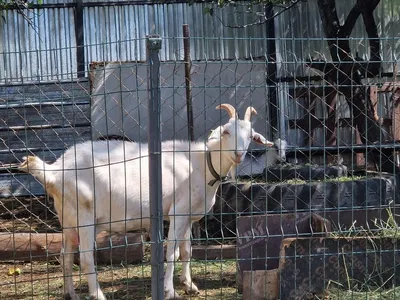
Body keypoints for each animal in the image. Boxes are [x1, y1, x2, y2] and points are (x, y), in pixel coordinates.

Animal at [19, 103, 276, 300]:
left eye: (250, 136)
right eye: (226, 132)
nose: (238, 155)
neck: (201, 163)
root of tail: (55, 170)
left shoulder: (188, 216)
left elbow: (187, 251)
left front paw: (190, 286)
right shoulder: (177, 212)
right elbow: (171, 252)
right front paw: (170, 291)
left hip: (68, 217)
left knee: (65, 254)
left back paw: (70, 293)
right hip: (85, 215)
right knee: (85, 257)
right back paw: (98, 295)